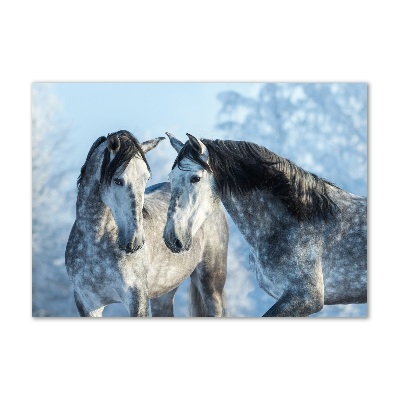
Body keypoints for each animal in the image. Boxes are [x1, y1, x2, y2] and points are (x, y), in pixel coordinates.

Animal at [65, 130, 228, 316]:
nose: (134, 241)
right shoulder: (88, 304)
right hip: (163, 295)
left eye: (146, 179)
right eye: (117, 180)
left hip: (211, 283)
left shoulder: (137, 299)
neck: (95, 242)